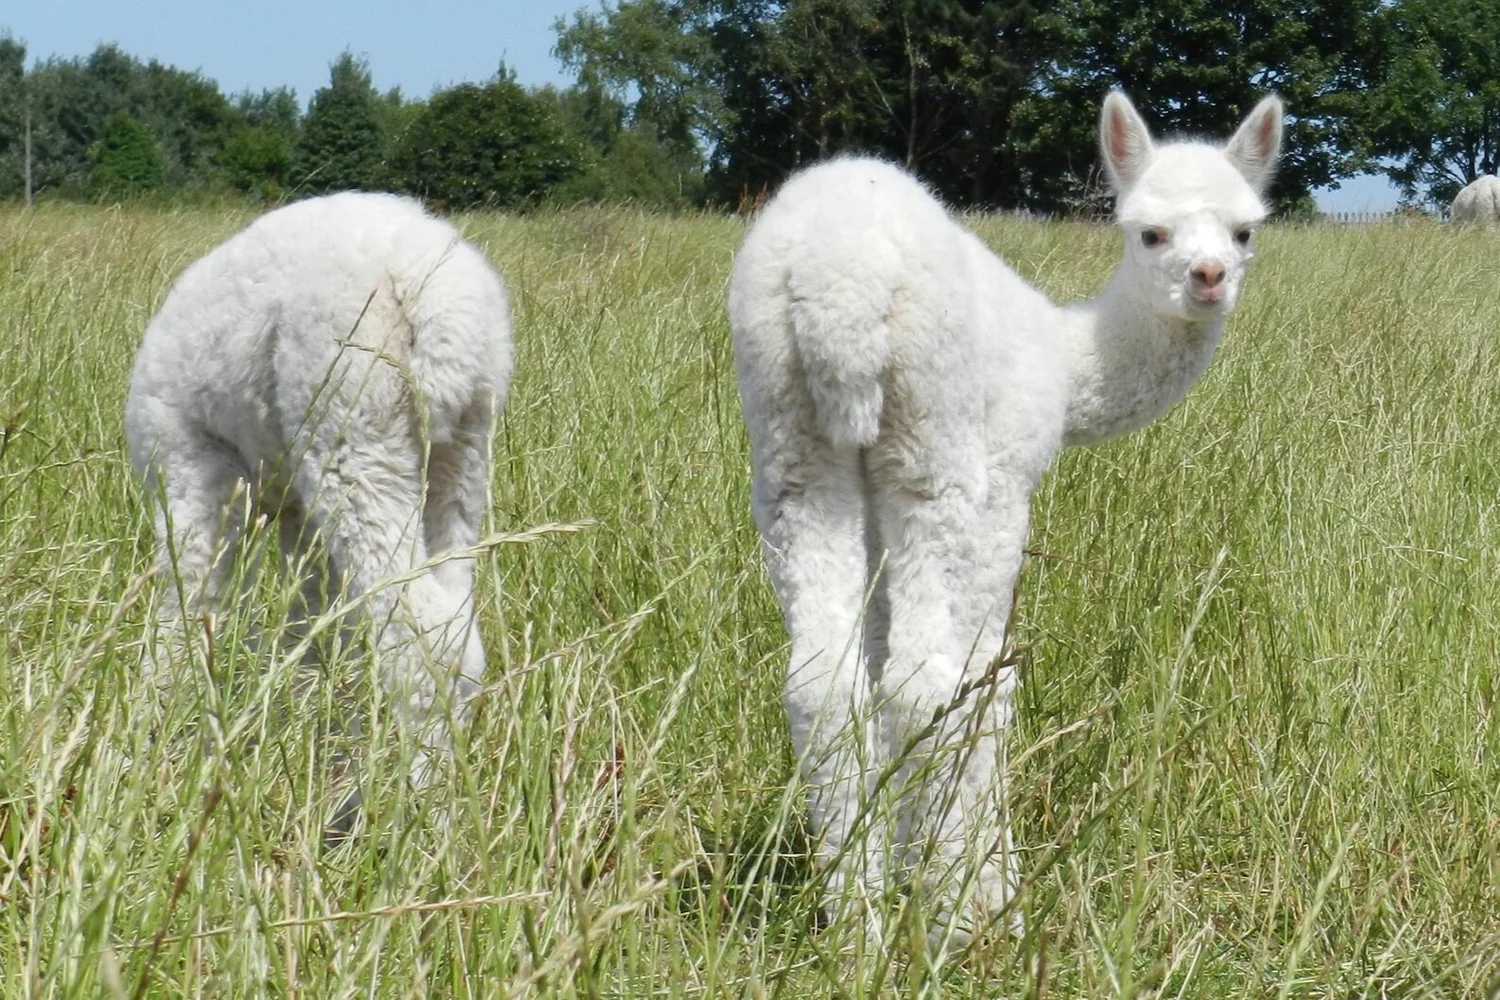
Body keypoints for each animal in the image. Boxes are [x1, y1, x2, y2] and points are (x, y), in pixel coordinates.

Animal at [126, 191, 512, 790]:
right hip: (457, 462)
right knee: (455, 630)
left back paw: (418, 800)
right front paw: (316, 722)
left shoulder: (196, 471)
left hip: (355, 430)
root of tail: (434, 297)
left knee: (420, 637)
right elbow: (318, 618)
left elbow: (192, 603)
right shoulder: (295, 514)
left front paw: (151, 733)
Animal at [727, 90, 1283, 946]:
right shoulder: (1006, 483)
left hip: (793, 443)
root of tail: (839, 283)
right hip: (934, 444)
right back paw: (952, 921)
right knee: (928, 680)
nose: (1209, 277)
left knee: (823, 683)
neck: (1072, 362)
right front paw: (980, 885)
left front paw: (904, 856)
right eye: (1149, 231)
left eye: (1244, 229)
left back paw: (856, 925)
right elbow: (991, 680)